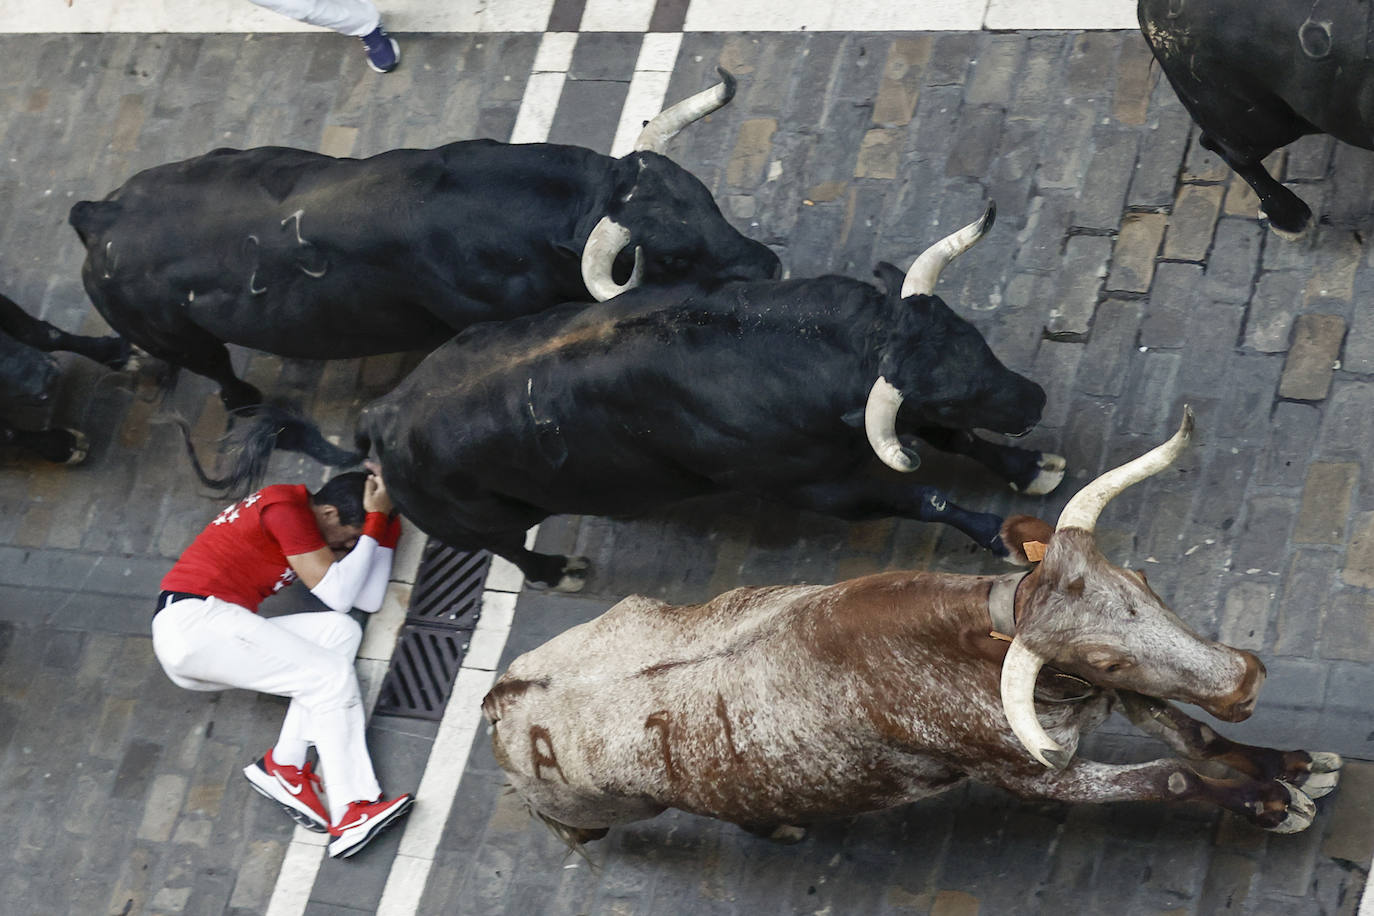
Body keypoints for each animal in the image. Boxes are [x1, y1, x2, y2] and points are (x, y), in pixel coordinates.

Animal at [69, 70, 780, 414]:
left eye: (708, 199)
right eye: (675, 255)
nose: (770, 266)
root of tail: (99, 215)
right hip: (185, 339)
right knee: (216, 371)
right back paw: (244, 402)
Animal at [208, 204, 1066, 590]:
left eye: (972, 338)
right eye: (948, 392)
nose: (1033, 400)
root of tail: (380, 419)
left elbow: (960, 451)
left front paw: (1031, 467)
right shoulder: (822, 488)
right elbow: (926, 496)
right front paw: (999, 533)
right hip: (477, 521)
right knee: (505, 547)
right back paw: (558, 571)